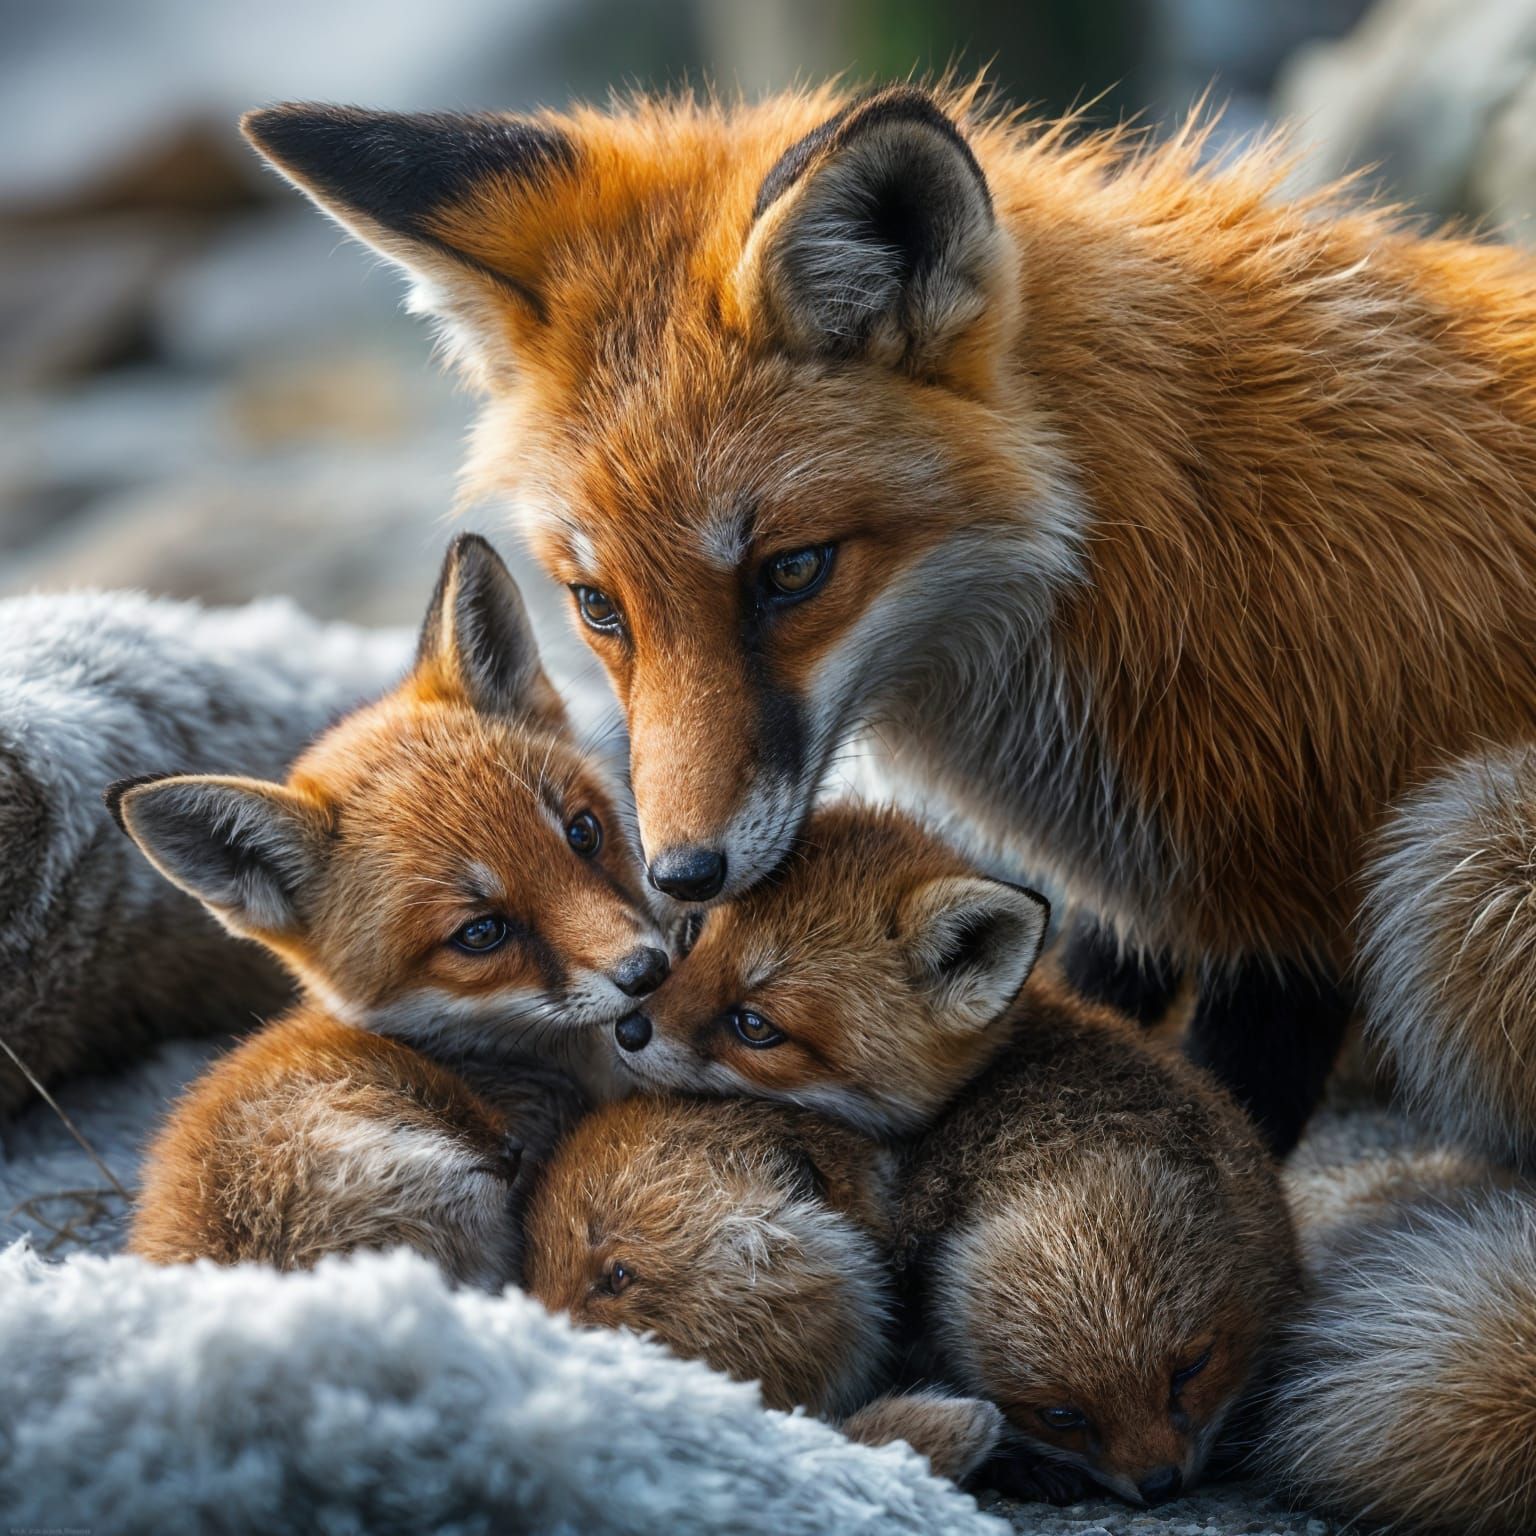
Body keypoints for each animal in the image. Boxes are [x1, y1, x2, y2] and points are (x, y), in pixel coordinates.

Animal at [239, 82, 1536, 1155]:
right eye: (598, 604)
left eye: (792, 571)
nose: (683, 874)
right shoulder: (1132, 908)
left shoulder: (1290, 915)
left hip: (1450, 862)